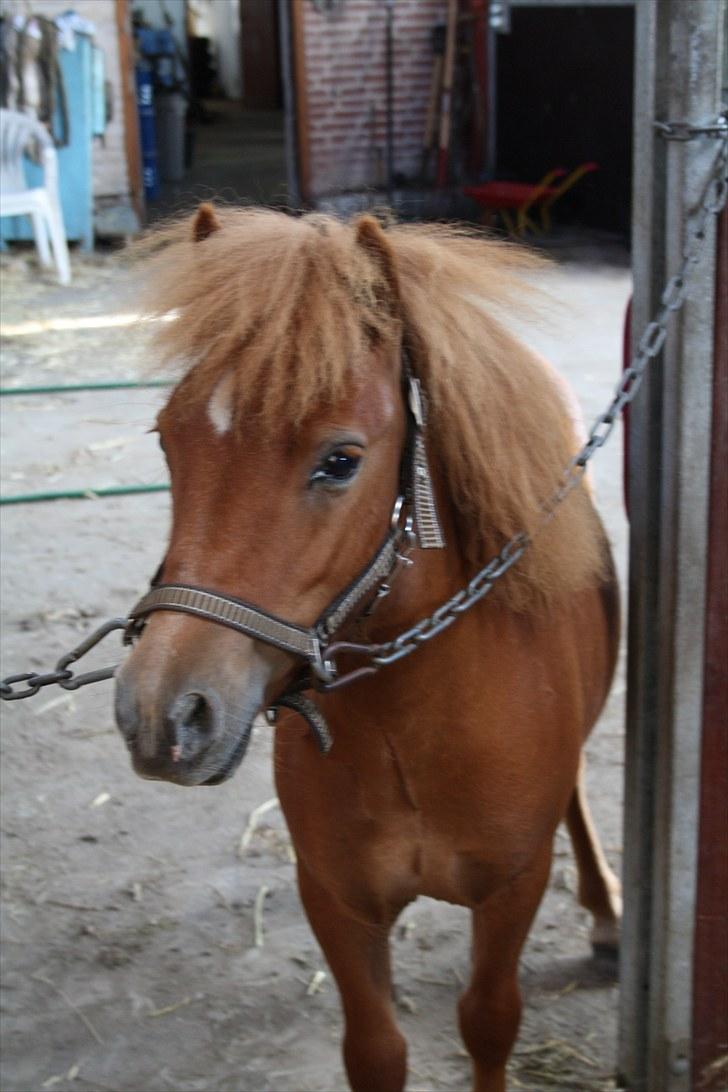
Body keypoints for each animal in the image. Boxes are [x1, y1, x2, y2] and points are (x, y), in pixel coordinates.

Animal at [115, 206, 619, 1092]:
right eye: (169, 441)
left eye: (340, 460)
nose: (162, 714)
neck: (409, 729)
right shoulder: (339, 901)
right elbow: (376, 1051)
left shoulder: (510, 893)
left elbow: (490, 1021)